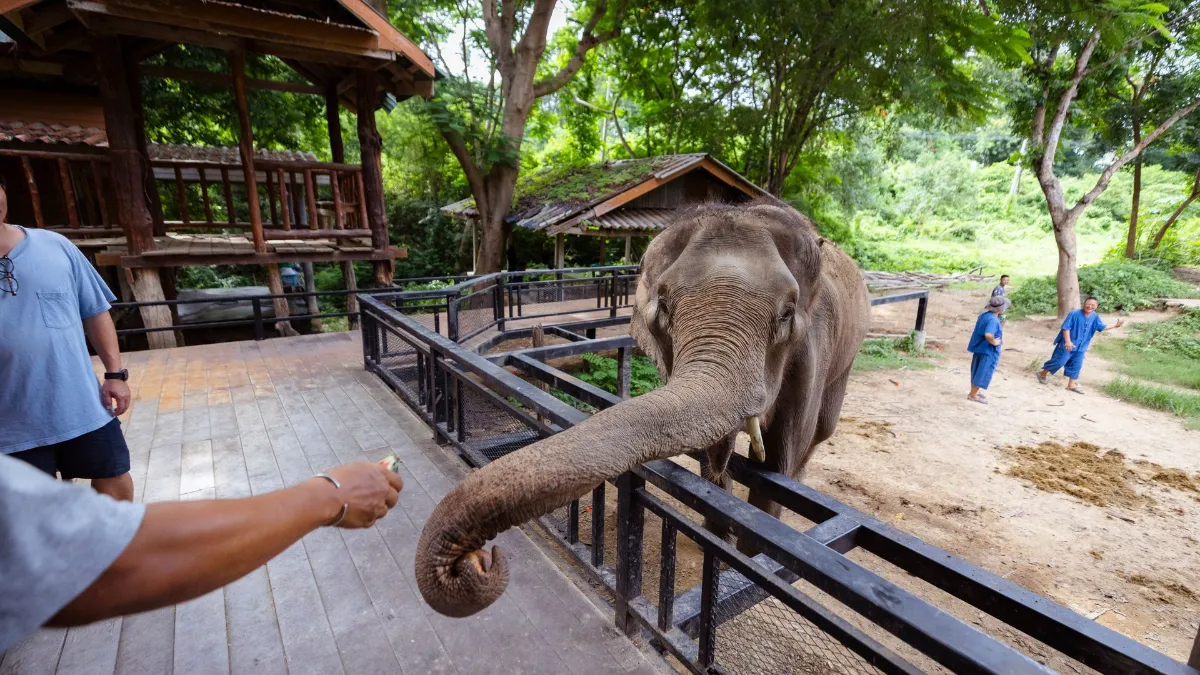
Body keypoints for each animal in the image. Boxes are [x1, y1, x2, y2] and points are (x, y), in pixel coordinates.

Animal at [414, 201, 872, 618]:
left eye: (787, 314)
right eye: (664, 307)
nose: (478, 560)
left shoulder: (813, 352)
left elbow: (779, 460)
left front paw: (751, 562)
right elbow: (712, 460)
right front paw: (720, 538)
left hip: (846, 358)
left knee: (816, 438)